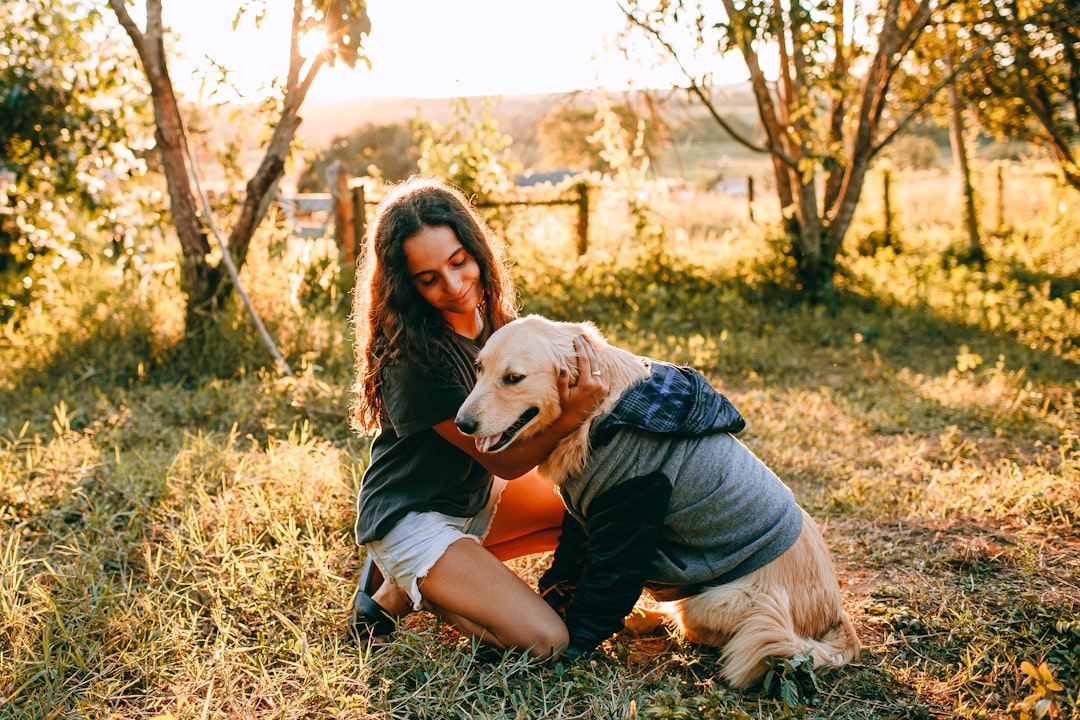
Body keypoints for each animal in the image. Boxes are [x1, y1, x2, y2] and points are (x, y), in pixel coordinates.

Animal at [455, 313, 859, 686]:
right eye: (480, 368)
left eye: (513, 378)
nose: (461, 424)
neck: (601, 415)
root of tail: (834, 615)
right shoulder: (583, 518)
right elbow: (567, 565)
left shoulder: (632, 508)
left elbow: (602, 588)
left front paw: (573, 644)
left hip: (729, 604)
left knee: (698, 626)